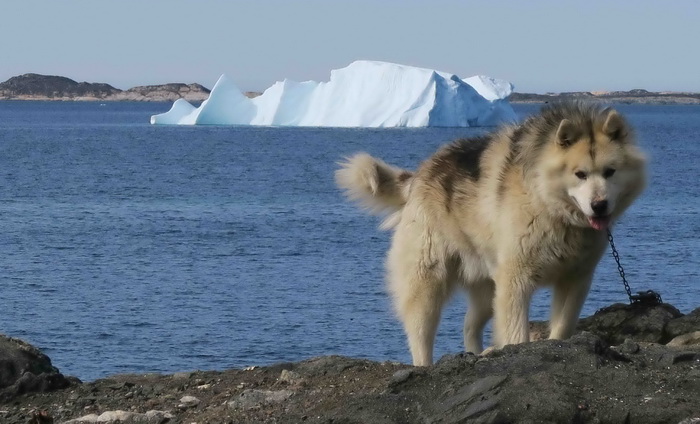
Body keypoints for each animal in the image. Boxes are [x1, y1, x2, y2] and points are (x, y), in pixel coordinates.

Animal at [336, 102, 648, 364]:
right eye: (580, 174)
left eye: (610, 172)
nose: (599, 206)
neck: (551, 206)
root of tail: (420, 175)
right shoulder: (516, 280)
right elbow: (516, 333)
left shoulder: (576, 279)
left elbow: (562, 327)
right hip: (427, 283)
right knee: (420, 334)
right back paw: (425, 364)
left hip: (486, 291)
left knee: (468, 326)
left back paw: (478, 354)